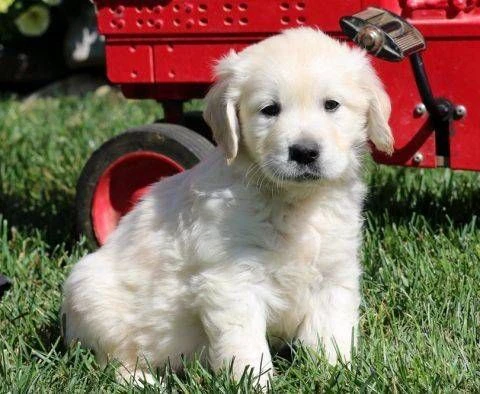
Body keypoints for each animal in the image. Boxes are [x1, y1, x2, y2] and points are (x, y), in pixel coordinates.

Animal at [61, 27, 394, 388]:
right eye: (269, 110)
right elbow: (246, 347)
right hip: (91, 295)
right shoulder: (233, 281)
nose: (304, 152)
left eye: (331, 105)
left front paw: (337, 374)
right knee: (112, 362)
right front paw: (255, 385)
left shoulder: (334, 274)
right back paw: (144, 382)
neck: (292, 201)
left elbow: (330, 333)